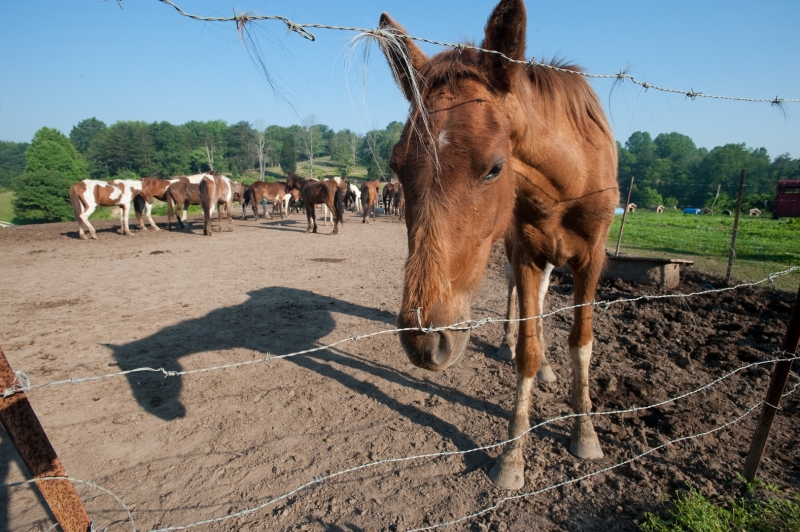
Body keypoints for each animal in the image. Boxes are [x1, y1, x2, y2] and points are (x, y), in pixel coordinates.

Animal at [380, 0, 620, 490]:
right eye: (396, 165)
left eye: (494, 168)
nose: (425, 342)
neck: (568, 179)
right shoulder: (526, 253)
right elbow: (526, 350)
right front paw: (512, 456)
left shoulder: (592, 259)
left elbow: (582, 342)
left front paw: (584, 433)